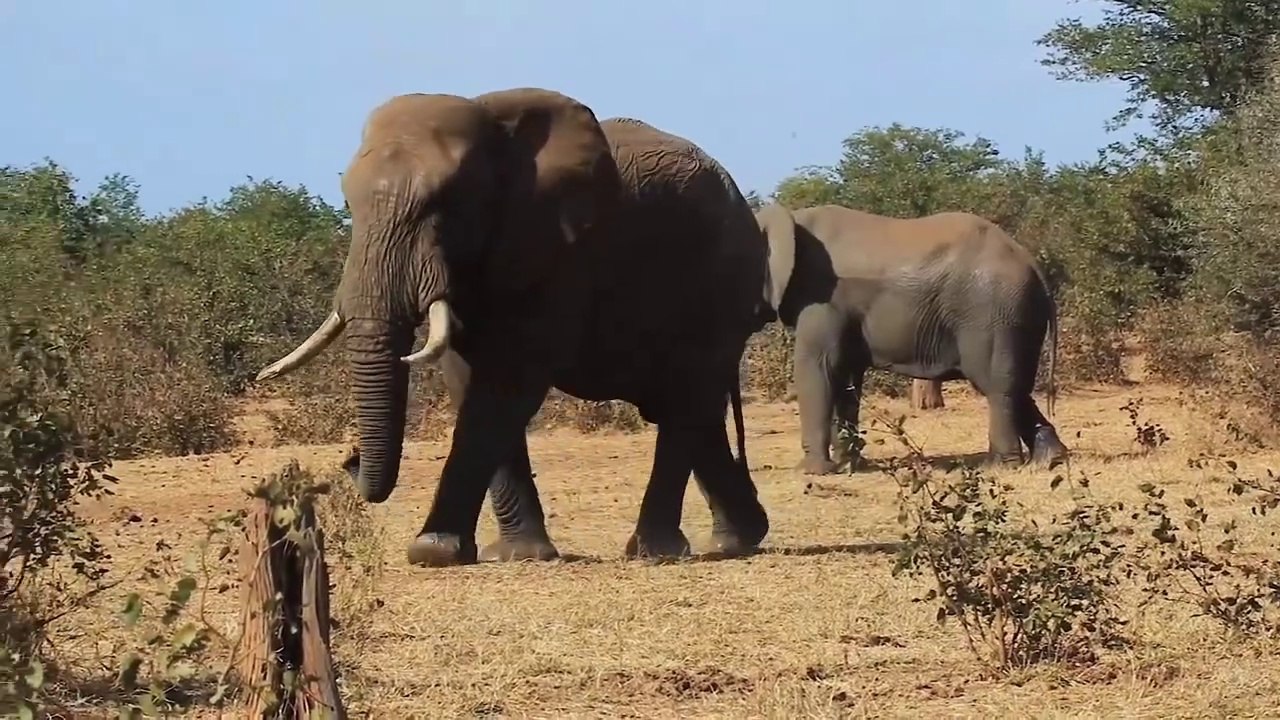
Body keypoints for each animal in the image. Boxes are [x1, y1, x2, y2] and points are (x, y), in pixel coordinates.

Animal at [254, 88, 792, 567]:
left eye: (445, 204)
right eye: (348, 204)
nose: (348, 458)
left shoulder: (557, 253)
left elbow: (506, 388)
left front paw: (432, 552)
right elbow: (469, 381)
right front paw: (517, 555)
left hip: (719, 282)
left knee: (685, 399)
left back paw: (655, 550)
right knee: (687, 407)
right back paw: (738, 538)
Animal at [752, 202, 1069, 475]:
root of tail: (1032, 264)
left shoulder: (823, 298)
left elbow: (818, 367)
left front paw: (812, 472)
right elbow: (845, 376)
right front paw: (849, 466)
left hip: (993, 312)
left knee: (996, 385)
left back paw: (1001, 466)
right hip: (1017, 315)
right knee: (1016, 385)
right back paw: (1052, 460)